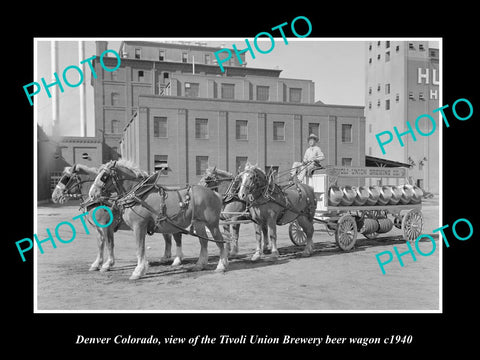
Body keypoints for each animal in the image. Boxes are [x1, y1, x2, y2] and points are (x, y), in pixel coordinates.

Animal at [51, 162, 182, 270]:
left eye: (66, 178)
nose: (54, 196)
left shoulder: (106, 226)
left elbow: (109, 244)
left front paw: (108, 264)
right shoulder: (99, 228)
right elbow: (100, 244)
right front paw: (97, 263)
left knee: (174, 236)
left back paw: (176, 259)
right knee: (168, 236)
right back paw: (166, 257)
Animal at [89, 159, 228, 280]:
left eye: (104, 176)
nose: (92, 193)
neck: (138, 195)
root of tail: (215, 193)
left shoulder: (138, 226)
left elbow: (139, 248)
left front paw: (138, 271)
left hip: (212, 224)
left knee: (220, 241)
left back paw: (221, 265)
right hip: (199, 223)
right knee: (203, 242)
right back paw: (200, 265)